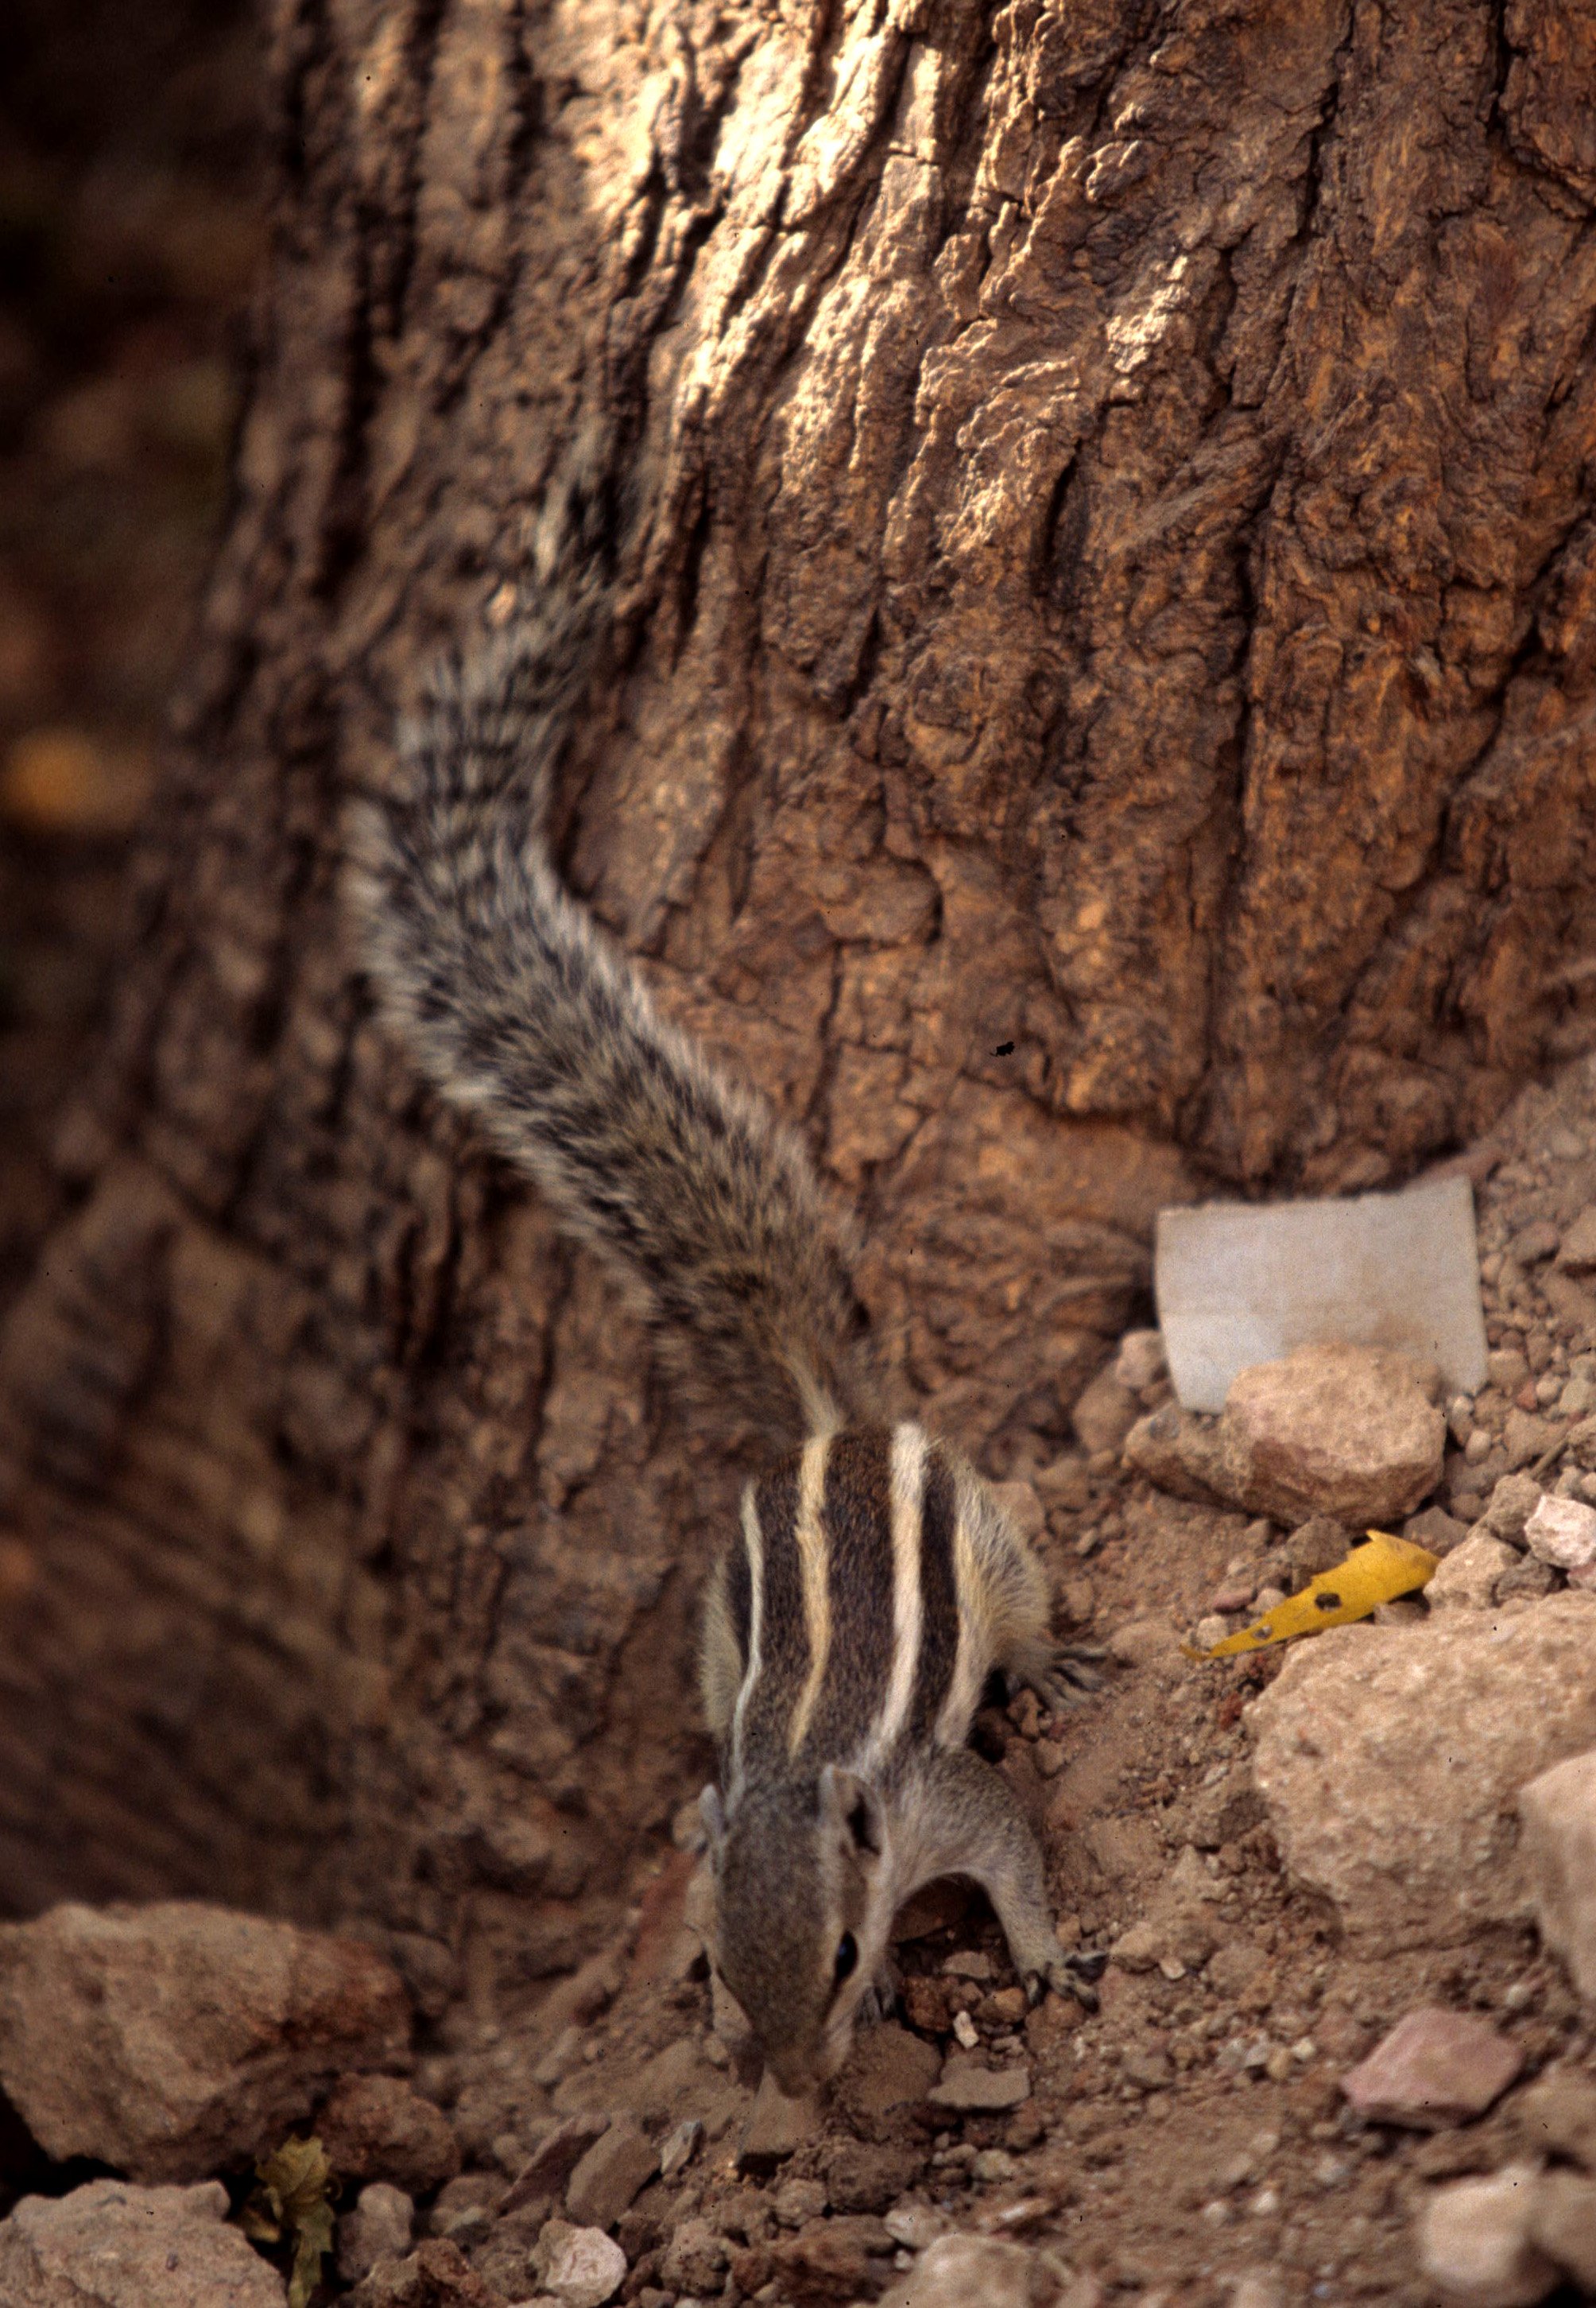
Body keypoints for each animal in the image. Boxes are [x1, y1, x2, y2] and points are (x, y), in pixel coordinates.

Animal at [348, 570, 1106, 2097]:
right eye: (709, 1963)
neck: (799, 1784)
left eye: (836, 1947)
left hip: (984, 1538)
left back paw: (1043, 1653)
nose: (796, 2082)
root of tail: (829, 1422)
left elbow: (1014, 1852)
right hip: (714, 1613)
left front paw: (1044, 1955)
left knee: (1019, 1589)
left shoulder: (953, 1799)